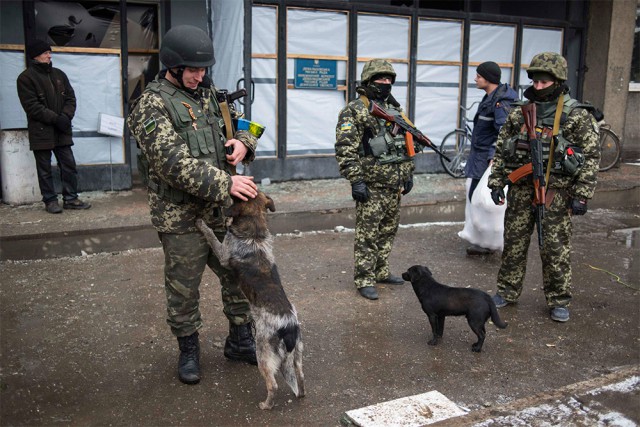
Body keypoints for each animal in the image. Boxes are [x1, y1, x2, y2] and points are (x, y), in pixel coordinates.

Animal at [195, 191, 304, 412]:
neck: (255, 234)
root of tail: (288, 326)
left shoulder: (223, 253)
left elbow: (211, 235)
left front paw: (202, 223)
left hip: (263, 353)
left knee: (273, 384)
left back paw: (266, 405)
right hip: (297, 353)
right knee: (301, 377)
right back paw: (300, 394)